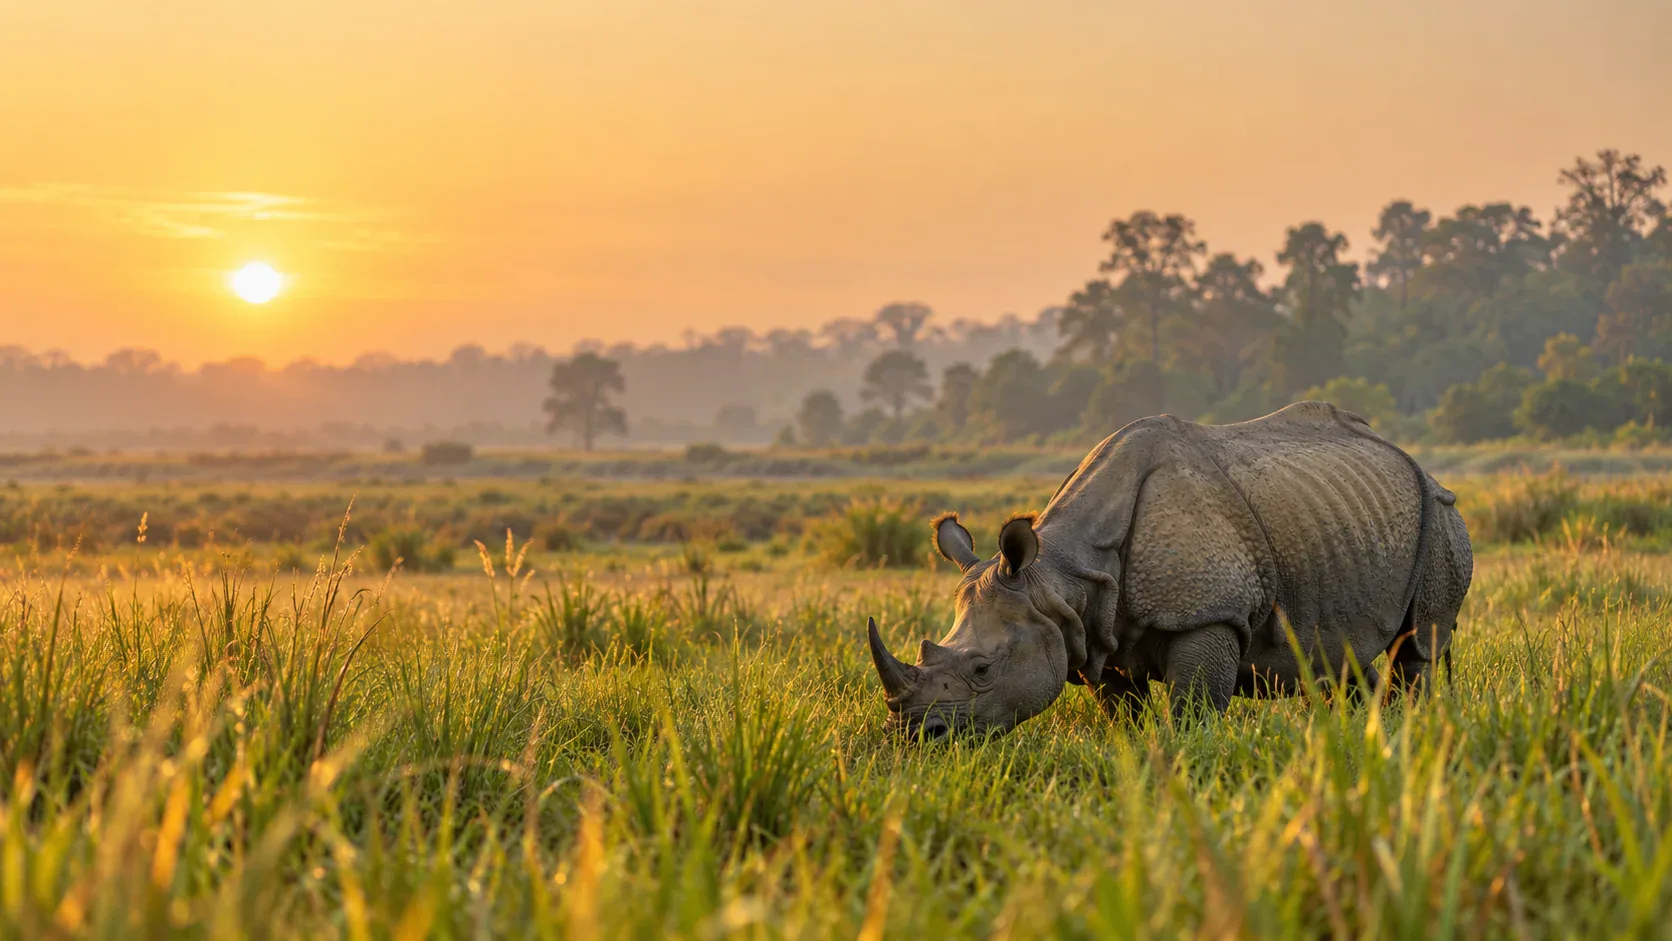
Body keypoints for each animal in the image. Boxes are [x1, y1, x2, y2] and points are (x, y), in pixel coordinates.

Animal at [867, 402, 1473, 738]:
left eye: (982, 669)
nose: (917, 735)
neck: (1061, 576)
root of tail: (1422, 466)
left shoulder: (1209, 613)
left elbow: (1192, 709)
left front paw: (1188, 761)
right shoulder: (1095, 630)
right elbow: (1123, 712)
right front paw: (1138, 757)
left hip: (1441, 519)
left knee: (1418, 645)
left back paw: (1412, 731)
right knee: (1345, 654)